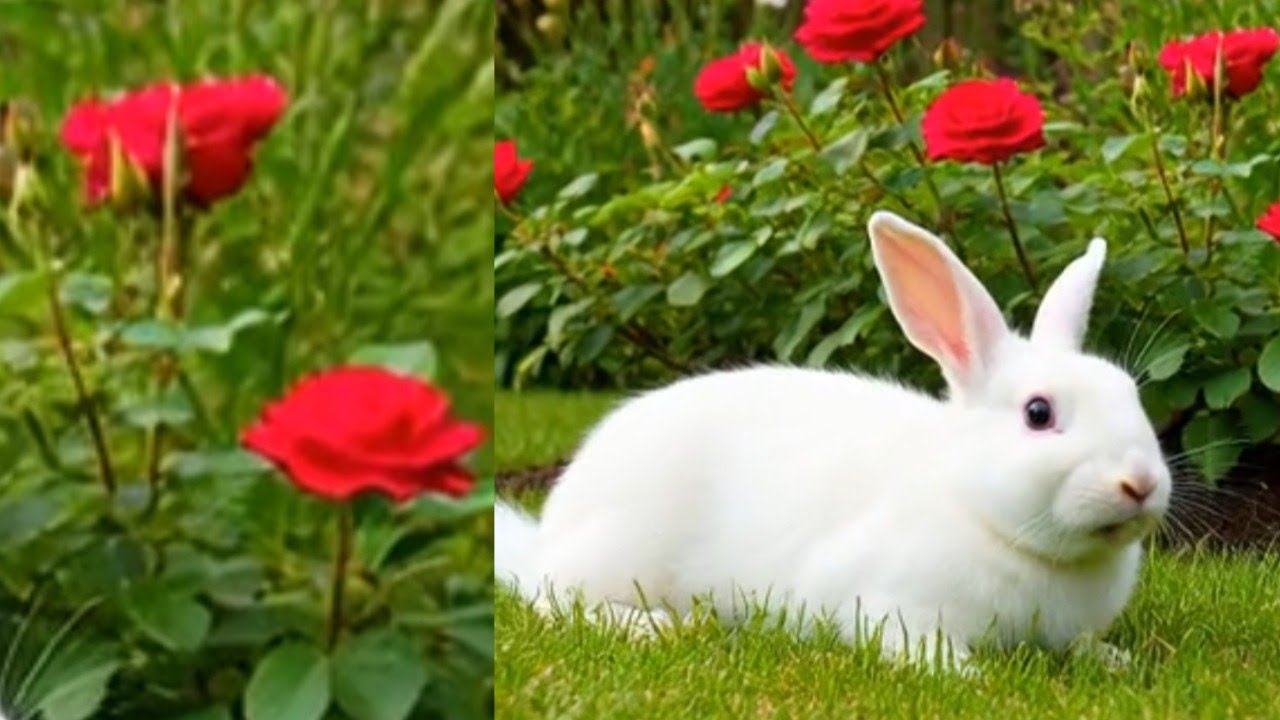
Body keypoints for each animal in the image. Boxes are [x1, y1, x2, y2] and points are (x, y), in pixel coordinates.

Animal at [496, 210, 1171, 671]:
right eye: (1038, 413)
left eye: (1129, 393)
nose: (1140, 483)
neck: (975, 509)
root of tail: (552, 525)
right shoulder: (885, 602)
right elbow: (919, 646)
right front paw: (968, 675)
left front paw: (1115, 661)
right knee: (548, 595)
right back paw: (658, 627)